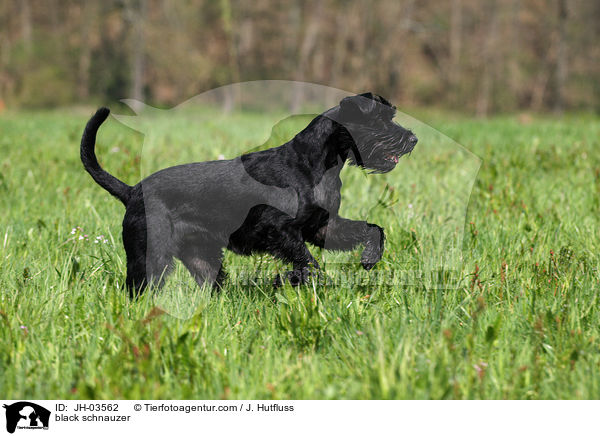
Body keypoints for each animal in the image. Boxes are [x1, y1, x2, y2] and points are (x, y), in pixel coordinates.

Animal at [79, 92, 418, 296]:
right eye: (380, 120)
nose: (413, 139)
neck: (318, 162)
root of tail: (132, 191)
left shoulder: (323, 226)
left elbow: (372, 229)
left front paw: (370, 257)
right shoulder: (277, 229)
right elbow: (308, 263)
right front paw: (285, 280)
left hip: (202, 257)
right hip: (151, 256)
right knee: (138, 288)